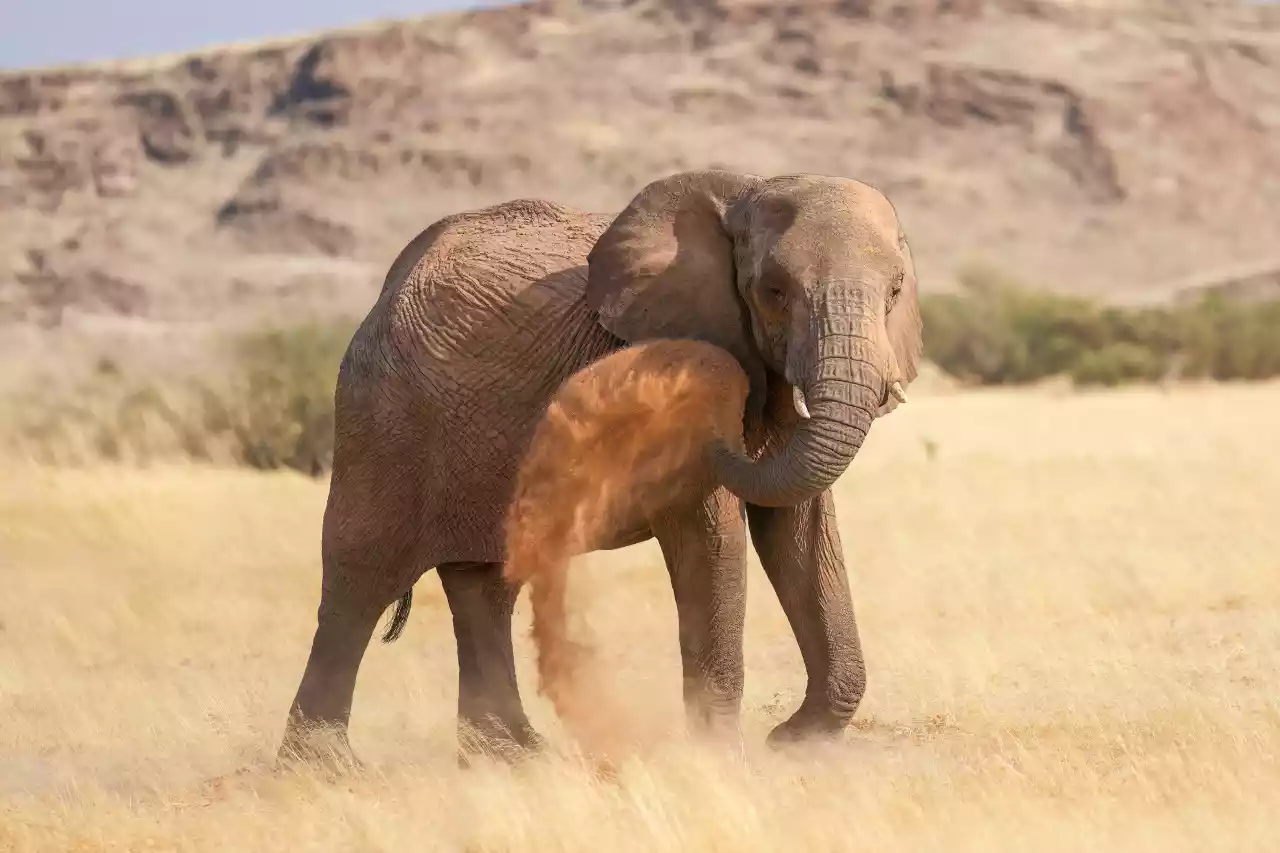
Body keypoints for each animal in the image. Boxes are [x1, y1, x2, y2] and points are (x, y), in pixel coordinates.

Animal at [276, 169, 923, 766]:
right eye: (774, 290)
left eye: (895, 290)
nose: (724, 418)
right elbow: (711, 534)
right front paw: (720, 760)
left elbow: (800, 531)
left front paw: (795, 743)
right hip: (384, 417)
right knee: (361, 578)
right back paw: (327, 769)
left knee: (484, 583)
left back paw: (513, 758)